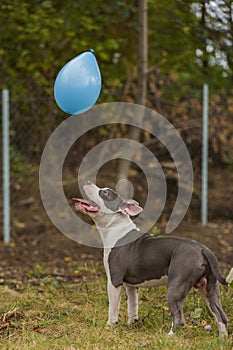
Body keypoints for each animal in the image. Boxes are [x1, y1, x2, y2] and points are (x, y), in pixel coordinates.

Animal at [73, 180, 233, 336]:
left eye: (104, 192)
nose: (87, 181)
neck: (115, 227)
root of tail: (202, 249)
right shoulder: (131, 286)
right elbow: (133, 305)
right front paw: (132, 325)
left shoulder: (114, 281)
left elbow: (113, 307)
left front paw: (109, 327)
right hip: (209, 288)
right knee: (220, 316)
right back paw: (222, 339)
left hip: (175, 287)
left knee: (179, 319)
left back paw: (169, 336)